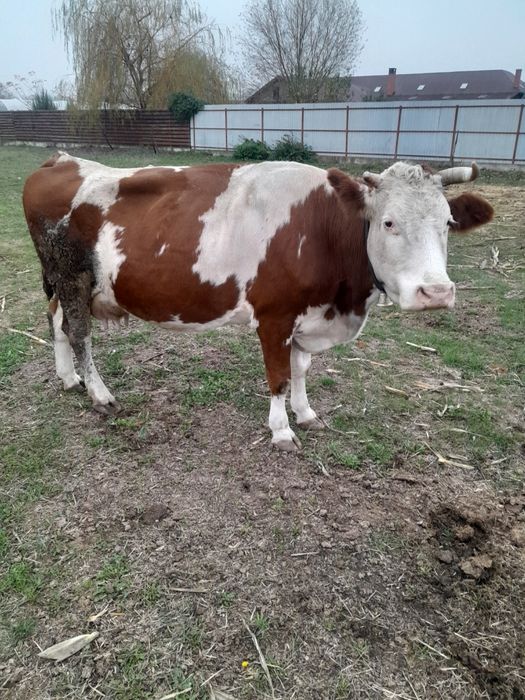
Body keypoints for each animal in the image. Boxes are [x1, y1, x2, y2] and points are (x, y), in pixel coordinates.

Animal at [23, 154, 493, 451]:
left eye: (448, 222)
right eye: (388, 222)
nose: (436, 293)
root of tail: (61, 161)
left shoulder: (308, 317)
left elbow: (301, 369)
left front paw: (306, 413)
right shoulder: (275, 316)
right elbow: (279, 378)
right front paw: (282, 431)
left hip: (69, 284)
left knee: (58, 322)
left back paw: (69, 378)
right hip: (71, 276)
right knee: (80, 333)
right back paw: (99, 394)